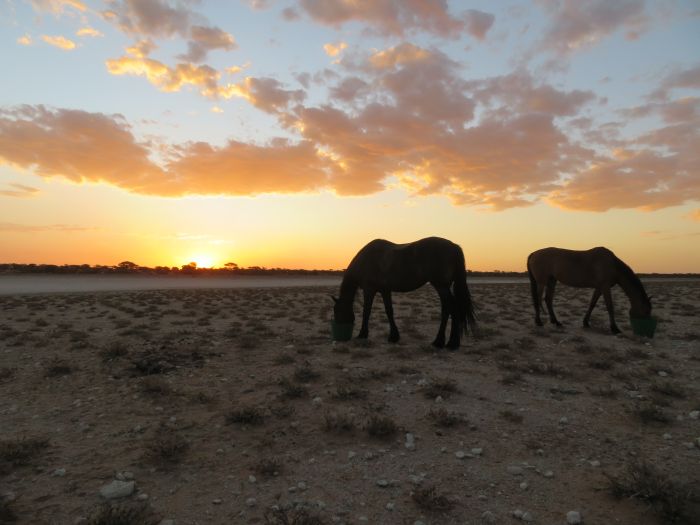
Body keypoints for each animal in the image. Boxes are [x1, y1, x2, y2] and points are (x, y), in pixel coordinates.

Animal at [332, 237, 476, 348]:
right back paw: (442, 342)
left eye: (337, 311)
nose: (338, 332)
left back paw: (449, 343)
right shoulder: (385, 290)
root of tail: (454, 246)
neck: (367, 260)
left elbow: (366, 311)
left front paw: (362, 334)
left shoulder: (369, 290)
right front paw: (393, 336)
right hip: (443, 287)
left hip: (441, 286)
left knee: (452, 308)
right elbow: (389, 311)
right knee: (448, 309)